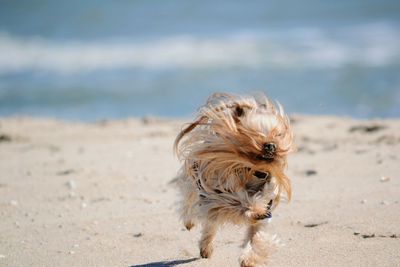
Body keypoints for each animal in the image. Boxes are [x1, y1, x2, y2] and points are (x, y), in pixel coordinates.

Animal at [173, 93, 296, 266]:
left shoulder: (266, 202)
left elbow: (256, 235)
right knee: (191, 203)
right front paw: (255, 209)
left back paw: (206, 248)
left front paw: (249, 259)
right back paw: (191, 224)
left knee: (209, 225)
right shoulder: (220, 193)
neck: (254, 171)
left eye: (278, 135)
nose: (271, 145)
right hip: (195, 182)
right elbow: (240, 202)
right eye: (253, 133)